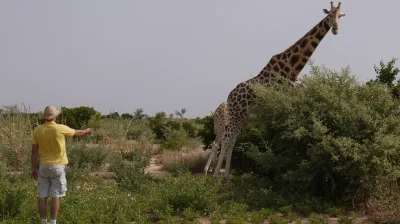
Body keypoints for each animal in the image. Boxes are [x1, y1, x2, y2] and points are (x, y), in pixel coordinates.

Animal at [212, 1, 346, 182]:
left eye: (340, 16)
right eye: (330, 15)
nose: (335, 29)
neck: (292, 68)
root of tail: (229, 97)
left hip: (242, 116)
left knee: (232, 141)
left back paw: (225, 176)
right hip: (235, 114)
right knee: (226, 140)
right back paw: (215, 178)